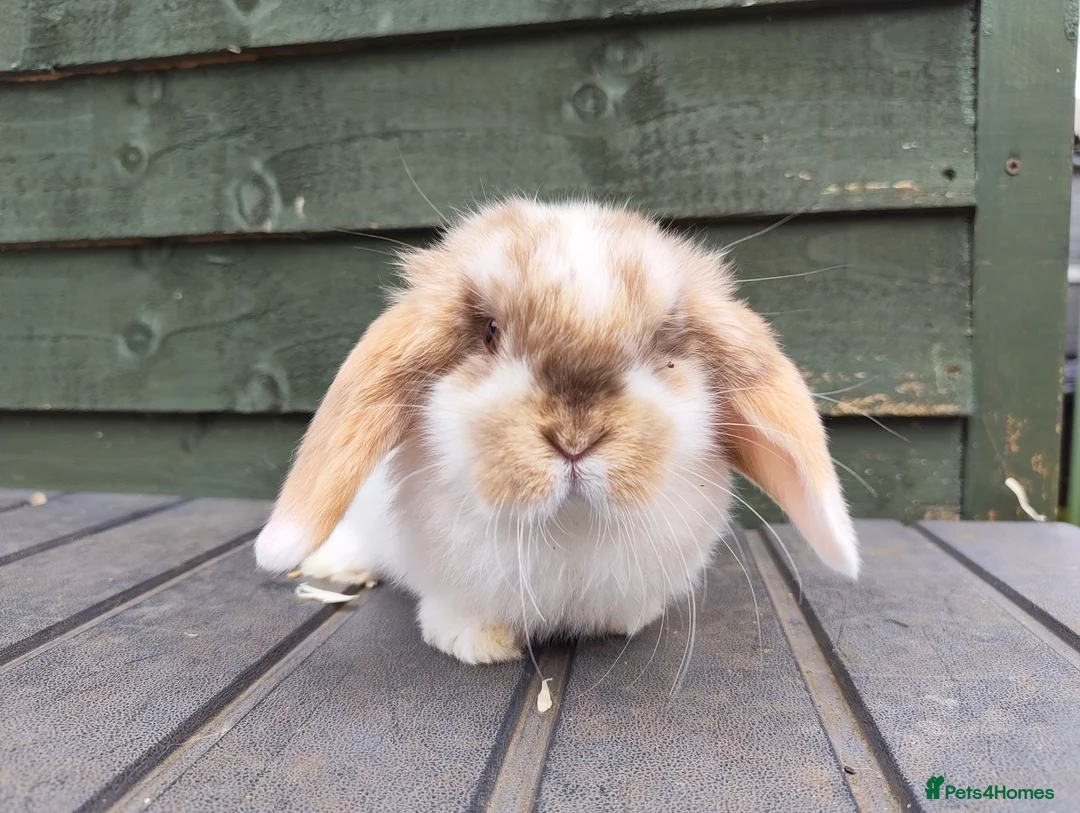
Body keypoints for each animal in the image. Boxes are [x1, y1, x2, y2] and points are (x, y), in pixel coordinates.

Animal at [254, 198, 859, 665]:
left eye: (664, 351)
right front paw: (475, 645)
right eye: (490, 333)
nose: (575, 439)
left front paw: (625, 624)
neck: (567, 531)